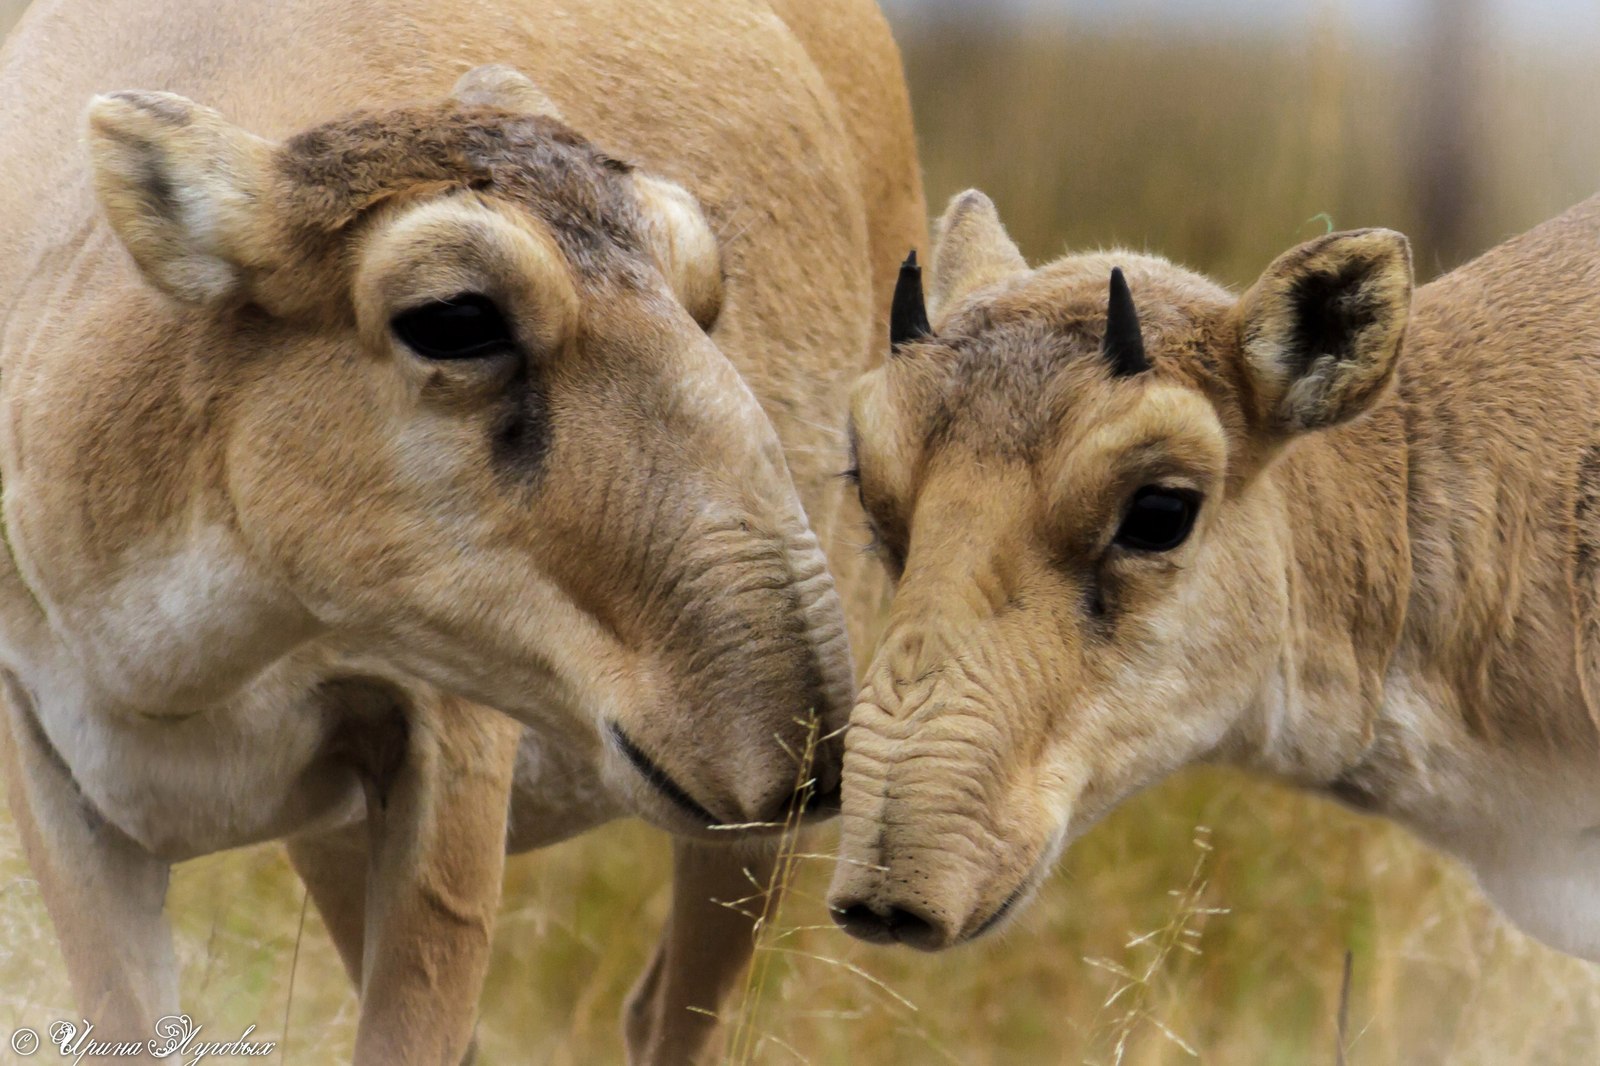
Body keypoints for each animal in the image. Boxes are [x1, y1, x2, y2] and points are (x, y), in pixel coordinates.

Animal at [0, 0, 921, 1056]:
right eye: (454, 316)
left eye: (704, 284)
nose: (797, 723)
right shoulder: (57, 777)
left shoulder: (453, 758)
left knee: (670, 1018)